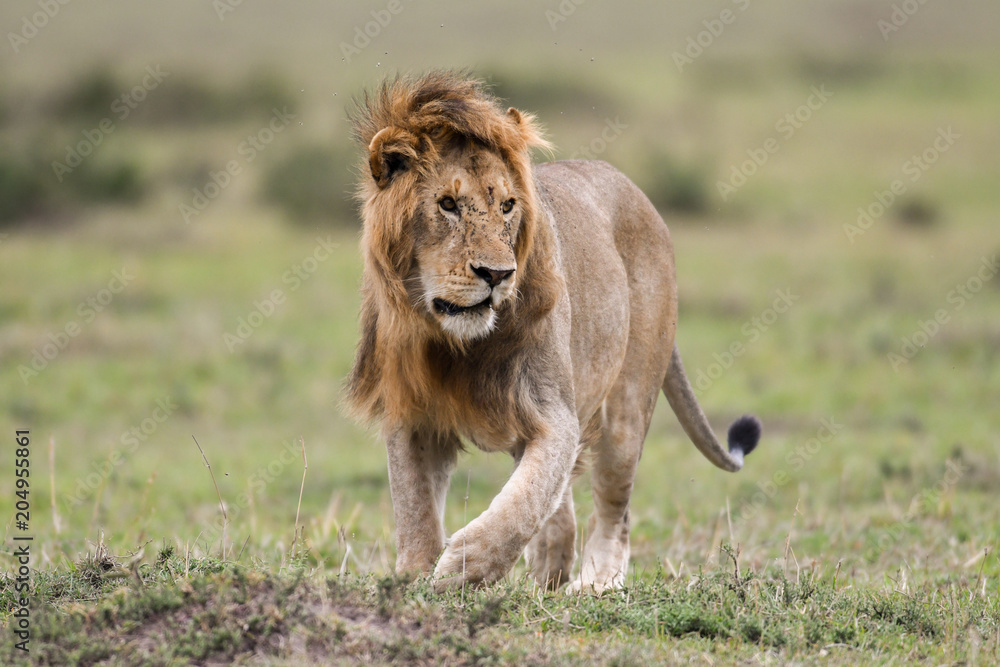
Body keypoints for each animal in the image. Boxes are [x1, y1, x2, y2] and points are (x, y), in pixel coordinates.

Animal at [346, 71, 761, 593]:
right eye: (447, 204)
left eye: (507, 206)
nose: (498, 274)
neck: (451, 341)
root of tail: (636, 192)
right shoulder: (412, 412)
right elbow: (414, 506)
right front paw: (413, 576)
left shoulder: (554, 412)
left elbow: (525, 501)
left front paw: (465, 567)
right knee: (560, 508)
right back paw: (551, 567)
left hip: (625, 412)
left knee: (614, 511)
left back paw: (597, 583)